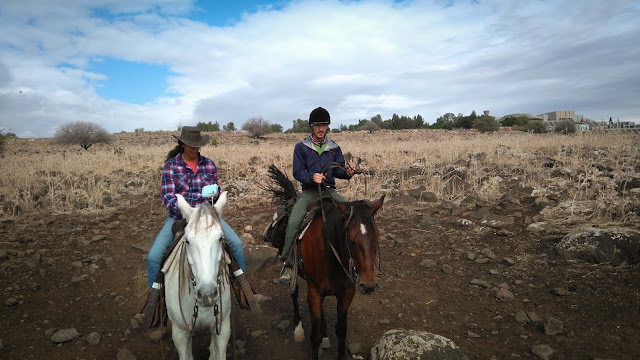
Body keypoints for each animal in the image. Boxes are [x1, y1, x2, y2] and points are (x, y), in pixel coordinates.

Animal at [266, 166, 384, 360]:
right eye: (351, 240)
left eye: (376, 237)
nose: (369, 286)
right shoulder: (314, 292)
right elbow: (314, 336)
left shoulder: (347, 292)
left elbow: (341, 329)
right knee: (294, 292)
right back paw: (298, 328)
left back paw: (325, 336)